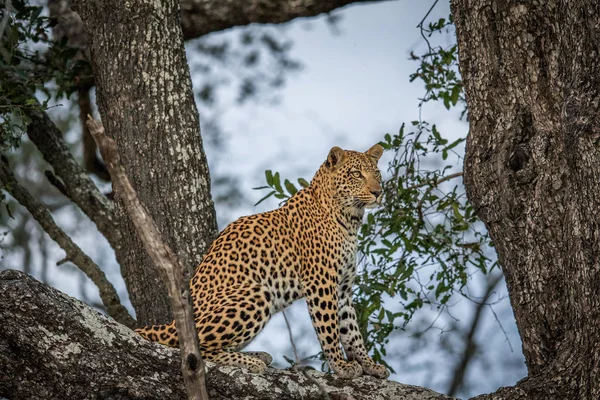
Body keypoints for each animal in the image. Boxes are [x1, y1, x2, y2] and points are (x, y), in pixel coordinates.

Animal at [135, 143, 390, 378]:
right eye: (356, 174)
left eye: (376, 174)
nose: (378, 192)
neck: (350, 219)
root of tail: (168, 324)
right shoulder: (321, 283)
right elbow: (329, 328)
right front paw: (340, 365)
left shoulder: (343, 288)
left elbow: (351, 330)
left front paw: (370, 364)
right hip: (256, 293)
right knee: (194, 350)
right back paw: (250, 361)